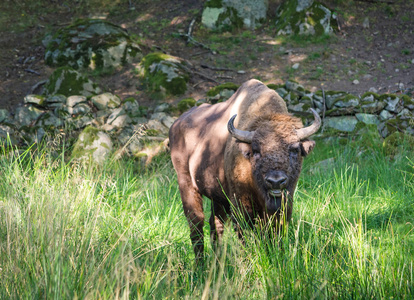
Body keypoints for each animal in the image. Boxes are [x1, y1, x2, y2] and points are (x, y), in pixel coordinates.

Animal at [168, 79, 320, 260]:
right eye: (256, 150)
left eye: (295, 149)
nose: (276, 181)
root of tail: (175, 125)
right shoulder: (241, 204)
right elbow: (246, 234)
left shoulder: (285, 203)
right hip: (186, 185)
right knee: (196, 224)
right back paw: (201, 263)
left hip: (218, 196)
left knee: (215, 224)